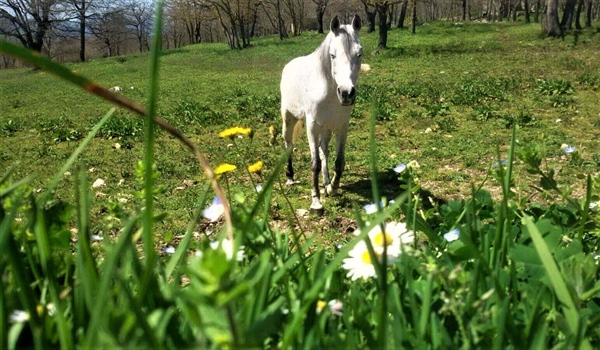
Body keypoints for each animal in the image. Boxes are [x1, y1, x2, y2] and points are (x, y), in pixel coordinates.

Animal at [280, 14, 360, 213]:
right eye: (332, 55)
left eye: (359, 54)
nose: (346, 93)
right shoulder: (312, 127)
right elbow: (314, 163)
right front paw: (316, 201)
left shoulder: (341, 126)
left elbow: (338, 161)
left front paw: (332, 187)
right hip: (288, 119)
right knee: (288, 144)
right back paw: (290, 177)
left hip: (327, 129)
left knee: (324, 151)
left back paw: (326, 183)